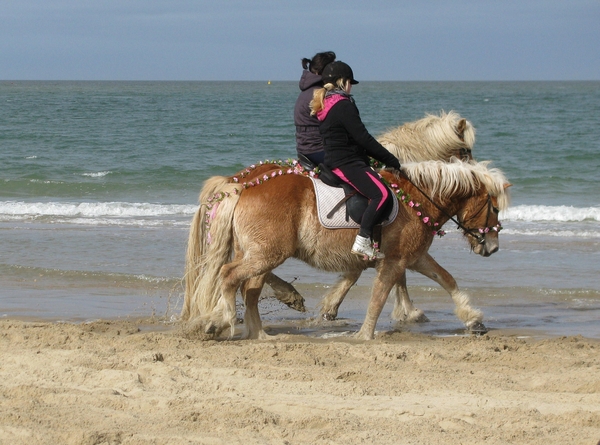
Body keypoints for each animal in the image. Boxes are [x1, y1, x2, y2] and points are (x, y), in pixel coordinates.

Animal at [185, 160, 508, 340]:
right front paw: (364, 335)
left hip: (256, 254)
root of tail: (244, 186)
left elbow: (447, 279)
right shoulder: (394, 262)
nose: (493, 247)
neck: (416, 199)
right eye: (494, 207)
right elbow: (378, 298)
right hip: (266, 254)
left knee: (248, 289)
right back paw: (224, 320)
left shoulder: (414, 257)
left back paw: (259, 333)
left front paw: (473, 318)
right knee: (229, 276)